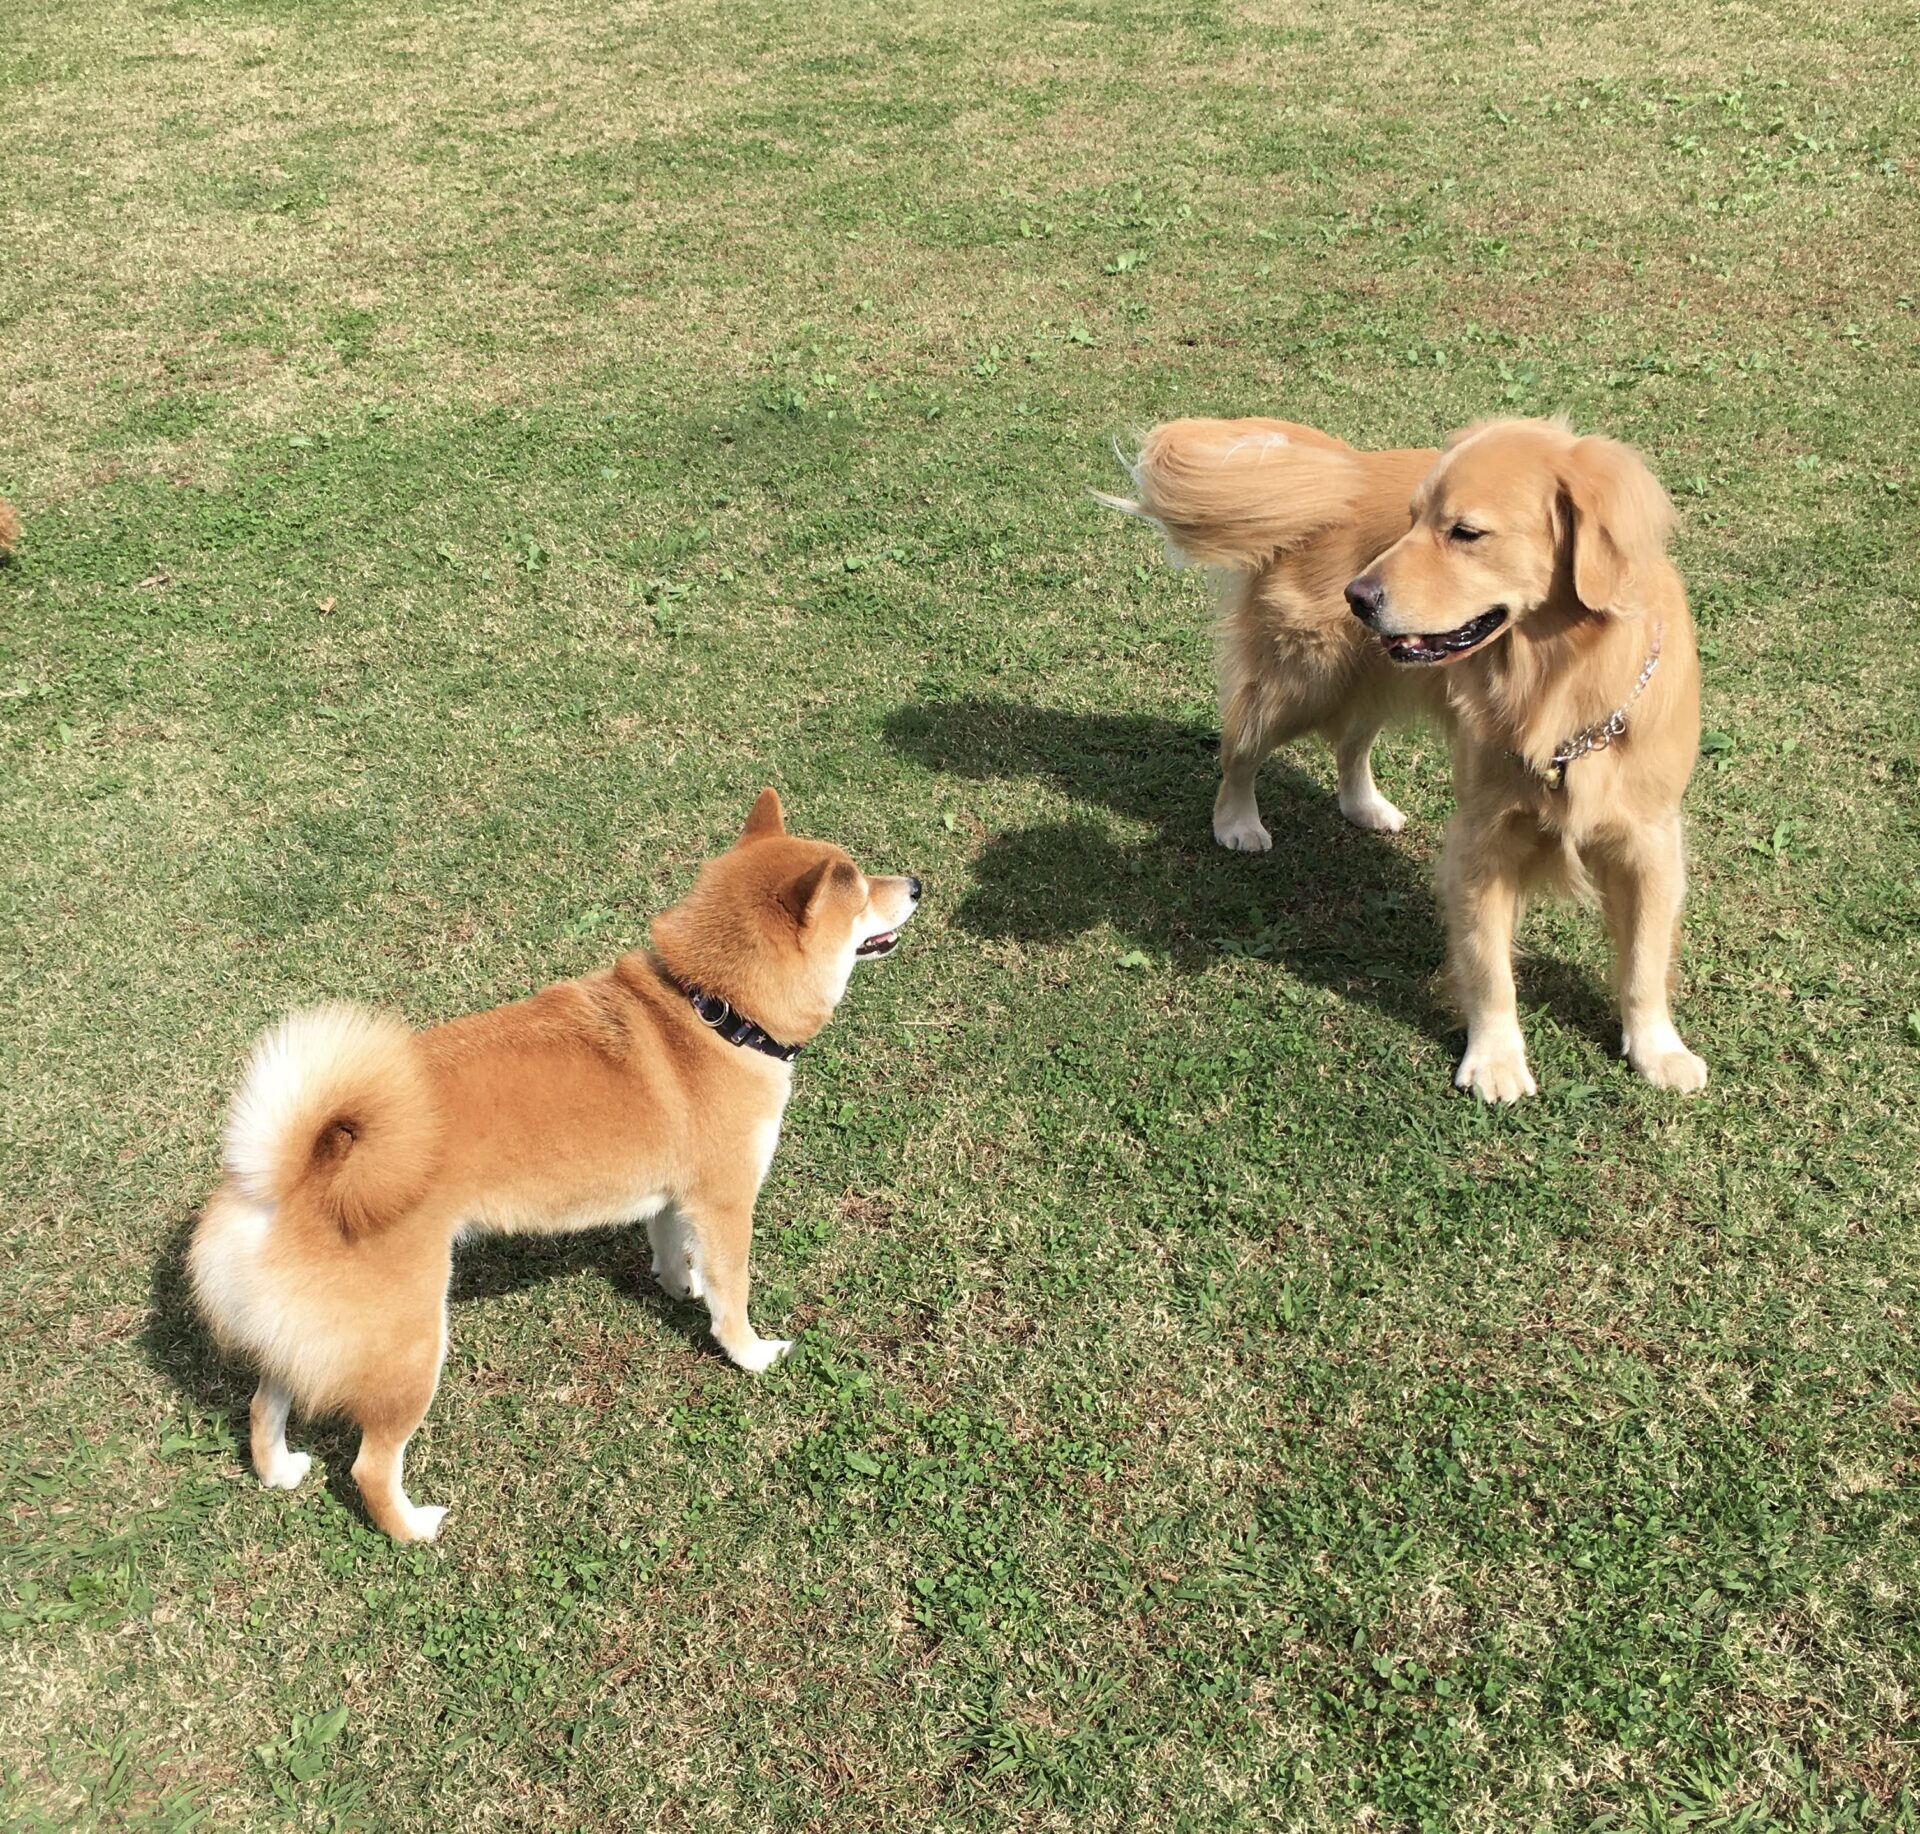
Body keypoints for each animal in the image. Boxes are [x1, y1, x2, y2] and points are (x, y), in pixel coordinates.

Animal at [190, 790, 920, 1539]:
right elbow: (734, 1293)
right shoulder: (725, 1203)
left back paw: (279, 1470)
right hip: (408, 1348)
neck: (712, 1012)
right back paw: (414, 1529)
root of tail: (287, 1175)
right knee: (369, 1466)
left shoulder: (671, 1198)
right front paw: (751, 1353)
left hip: (314, 1333)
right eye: (862, 892)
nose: (917, 884)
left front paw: (678, 1286)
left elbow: (671, 1250)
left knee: (263, 1403)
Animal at [1112, 416, 1705, 1102]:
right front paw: (1495, 1058)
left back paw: (1363, 804)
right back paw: (1237, 820)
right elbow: (1489, 963)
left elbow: (1644, 960)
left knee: (1352, 740)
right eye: (1411, 519)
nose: (1357, 595)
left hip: (1378, 669)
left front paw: (1658, 1049)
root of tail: (1347, 470)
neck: (1561, 684)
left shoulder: (1649, 839)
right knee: (1240, 741)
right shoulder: (1483, 834)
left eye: (1466, 532)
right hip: (1308, 677)